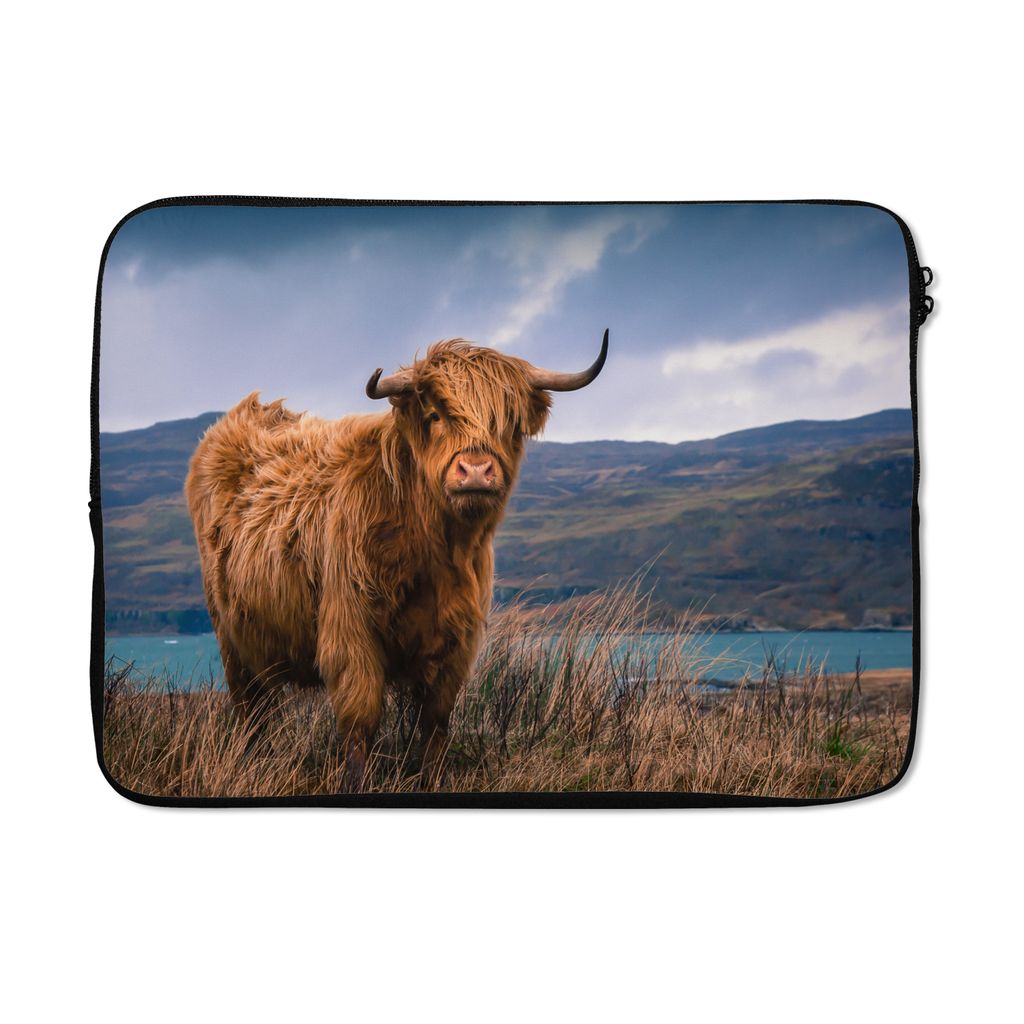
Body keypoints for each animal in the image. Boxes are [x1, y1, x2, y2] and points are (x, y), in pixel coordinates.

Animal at [184, 330, 609, 789]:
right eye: (436, 414)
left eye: (508, 421)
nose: (476, 471)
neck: (434, 550)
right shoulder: (351, 631)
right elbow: (360, 720)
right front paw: (355, 783)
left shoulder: (456, 642)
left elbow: (436, 722)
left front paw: (432, 779)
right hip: (230, 637)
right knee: (250, 710)